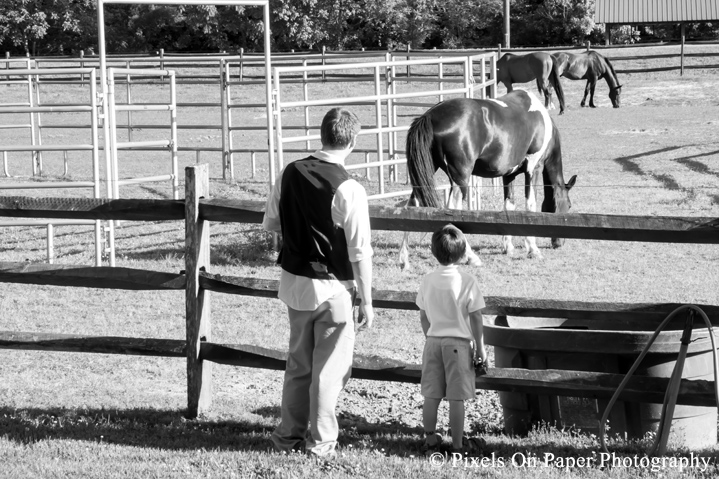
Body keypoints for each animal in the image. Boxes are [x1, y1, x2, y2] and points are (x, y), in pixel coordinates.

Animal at [400, 90, 580, 270]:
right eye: (569, 205)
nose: (559, 244)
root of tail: (430, 115)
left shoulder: (509, 175)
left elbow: (509, 206)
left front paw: (508, 247)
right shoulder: (533, 168)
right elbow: (530, 206)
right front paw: (533, 250)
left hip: (428, 169)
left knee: (412, 205)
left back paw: (404, 259)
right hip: (460, 177)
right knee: (452, 210)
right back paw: (470, 256)